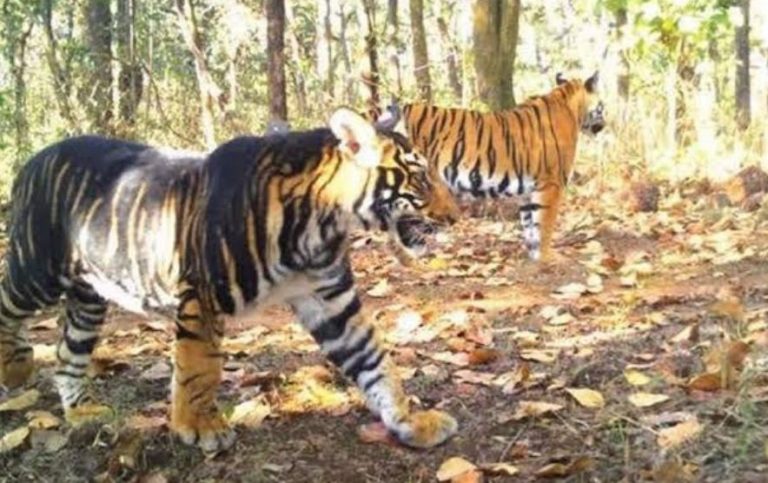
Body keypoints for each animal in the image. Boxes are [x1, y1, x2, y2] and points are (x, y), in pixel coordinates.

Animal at [0, 107, 459, 452]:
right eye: (420, 178)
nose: (457, 216)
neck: (323, 225)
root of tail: (32, 160)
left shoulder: (329, 298)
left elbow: (375, 360)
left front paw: (412, 421)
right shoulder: (202, 294)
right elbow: (200, 367)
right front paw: (200, 427)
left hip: (89, 295)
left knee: (67, 354)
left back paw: (82, 413)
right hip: (36, 270)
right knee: (9, 305)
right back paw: (15, 368)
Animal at [400, 72, 606, 262]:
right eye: (602, 106)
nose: (604, 124)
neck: (572, 109)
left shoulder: (528, 190)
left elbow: (530, 226)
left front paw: (534, 257)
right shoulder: (551, 184)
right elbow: (545, 225)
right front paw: (547, 259)